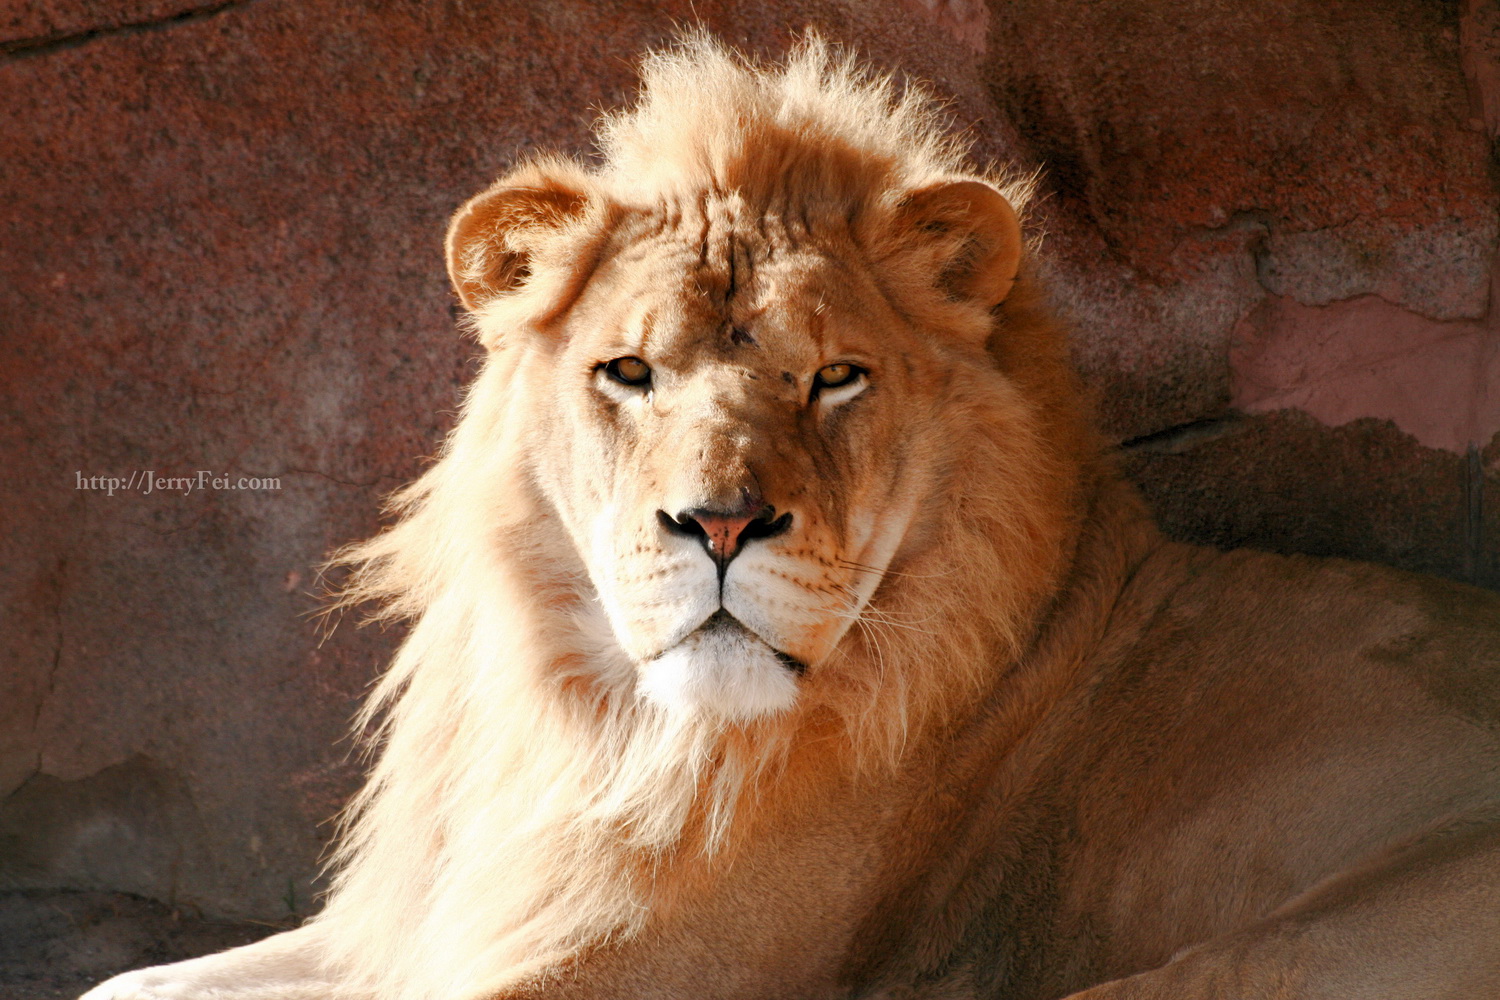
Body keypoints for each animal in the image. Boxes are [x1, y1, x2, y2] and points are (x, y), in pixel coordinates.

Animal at [83, 34, 1500, 1000]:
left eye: (835, 376)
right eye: (629, 371)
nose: (717, 526)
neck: (594, 721)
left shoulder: (628, 971)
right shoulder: (413, 920)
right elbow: (125, 980)